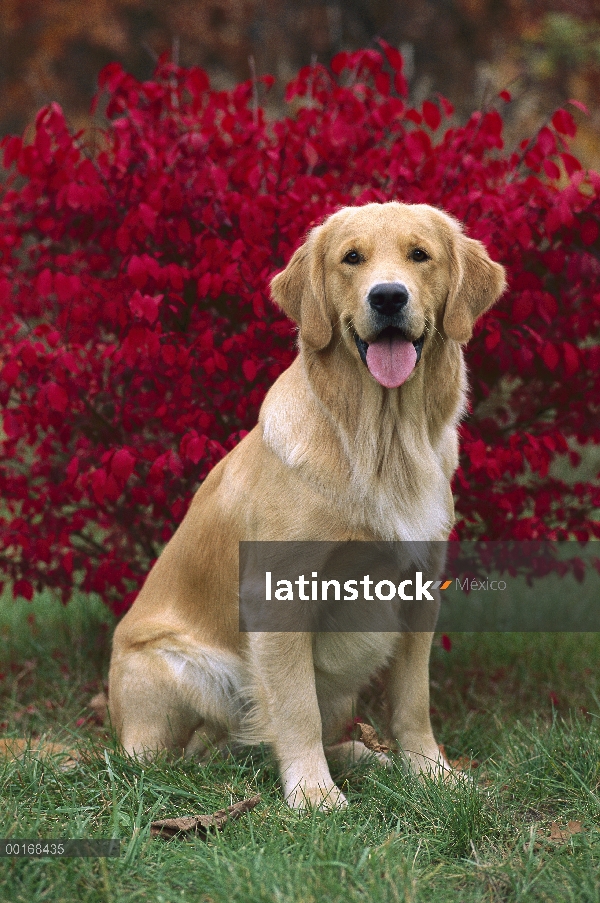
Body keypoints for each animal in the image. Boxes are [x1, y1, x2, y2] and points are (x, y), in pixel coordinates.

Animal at [108, 203, 506, 812]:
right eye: (351, 258)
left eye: (420, 255)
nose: (387, 297)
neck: (381, 445)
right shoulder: (279, 596)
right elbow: (295, 709)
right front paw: (315, 797)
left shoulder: (419, 592)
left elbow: (413, 700)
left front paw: (431, 772)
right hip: (182, 671)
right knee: (184, 754)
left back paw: (366, 757)